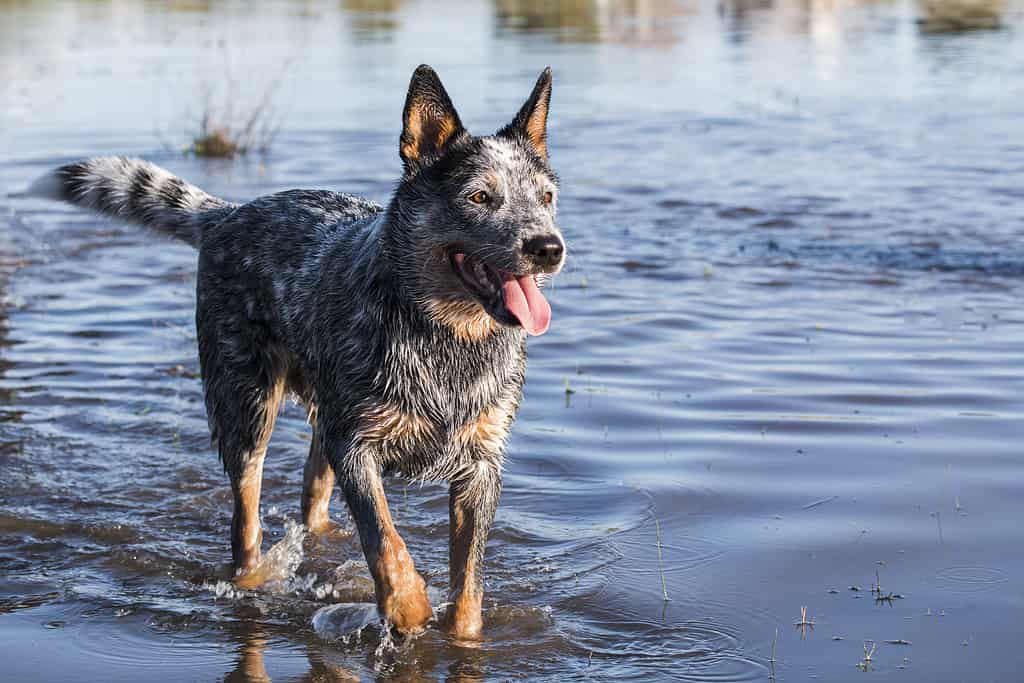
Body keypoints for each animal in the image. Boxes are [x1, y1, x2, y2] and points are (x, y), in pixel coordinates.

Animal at [28, 65, 565, 643]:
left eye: (547, 196)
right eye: (480, 197)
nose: (548, 247)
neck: (446, 338)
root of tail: (229, 215)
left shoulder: (480, 466)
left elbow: (469, 581)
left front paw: (461, 635)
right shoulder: (357, 445)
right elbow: (384, 538)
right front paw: (406, 608)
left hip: (323, 414)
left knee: (313, 488)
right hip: (248, 410)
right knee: (245, 520)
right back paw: (251, 578)